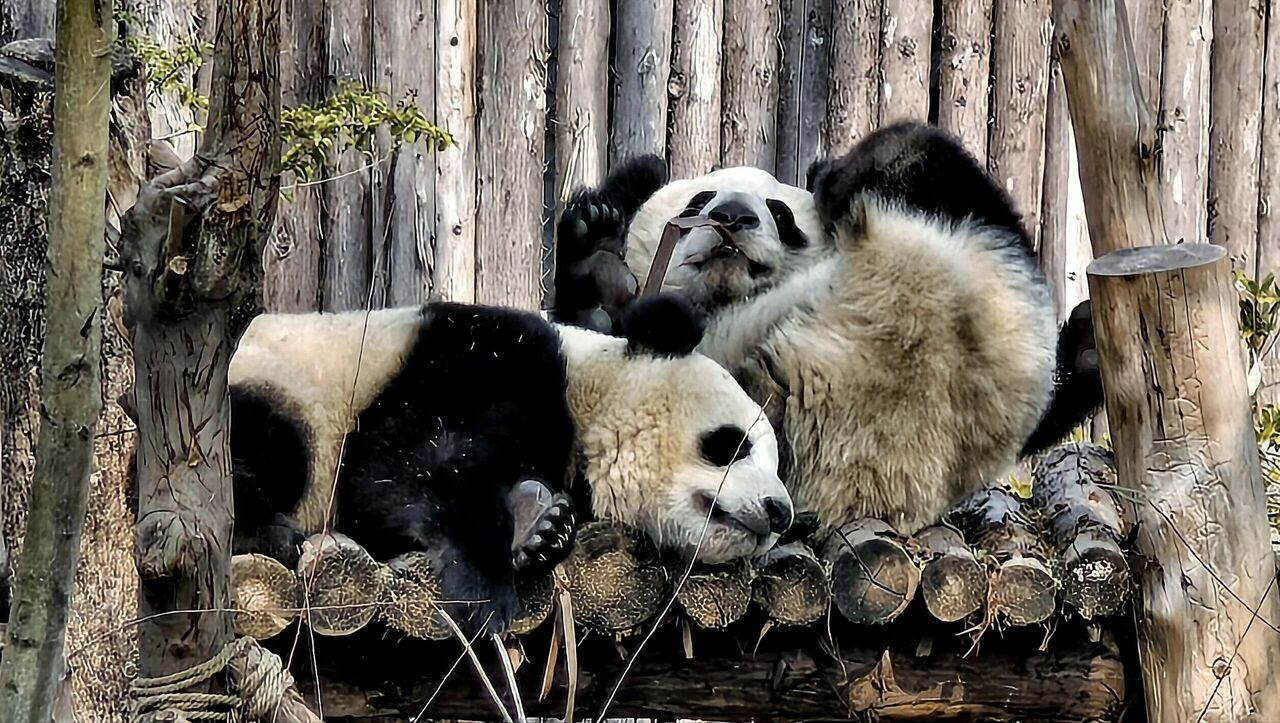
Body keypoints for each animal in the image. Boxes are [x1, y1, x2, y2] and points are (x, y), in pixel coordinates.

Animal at [228, 295, 793, 638]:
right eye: (732, 443)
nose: (780, 512)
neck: (587, 394)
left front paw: (545, 531)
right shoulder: (484, 358)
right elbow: (403, 465)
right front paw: (490, 586)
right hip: (275, 384)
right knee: (275, 447)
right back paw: (265, 530)